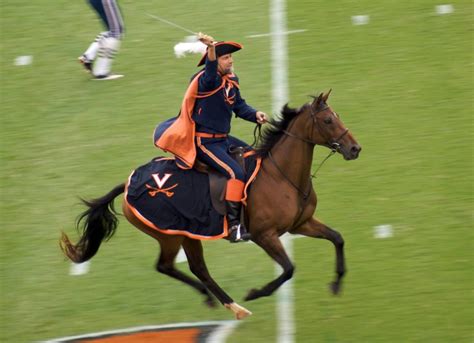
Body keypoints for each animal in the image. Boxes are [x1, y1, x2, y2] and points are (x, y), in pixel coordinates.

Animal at [61, 90, 362, 320]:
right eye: (327, 120)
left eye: (337, 116)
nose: (355, 149)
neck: (281, 176)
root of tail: (127, 184)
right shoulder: (265, 236)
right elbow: (288, 269)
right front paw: (256, 293)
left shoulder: (301, 223)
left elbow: (338, 238)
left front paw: (336, 283)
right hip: (172, 235)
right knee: (175, 267)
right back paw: (234, 306)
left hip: (185, 235)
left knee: (186, 268)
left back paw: (216, 300)